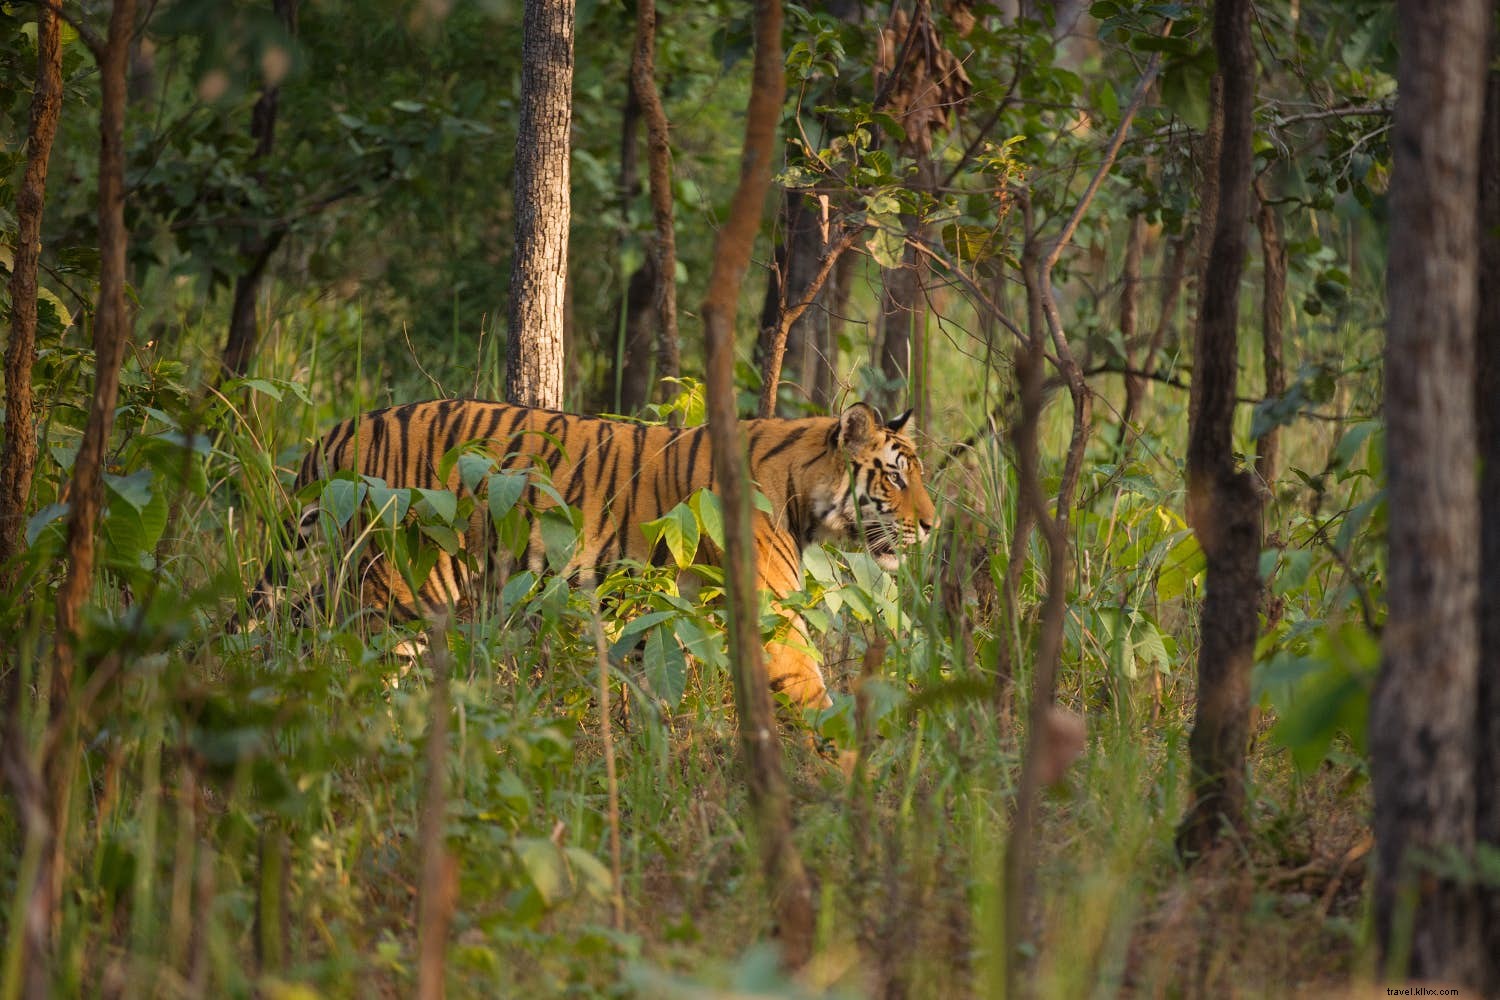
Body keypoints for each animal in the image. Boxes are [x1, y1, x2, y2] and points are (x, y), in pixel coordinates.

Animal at [245, 398, 938, 708]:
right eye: (896, 476)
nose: (933, 526)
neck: (803, 491)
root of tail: (342, 428)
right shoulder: (772, 621)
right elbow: (811, 694)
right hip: (402, 592)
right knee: (355, 666)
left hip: (347, 574)